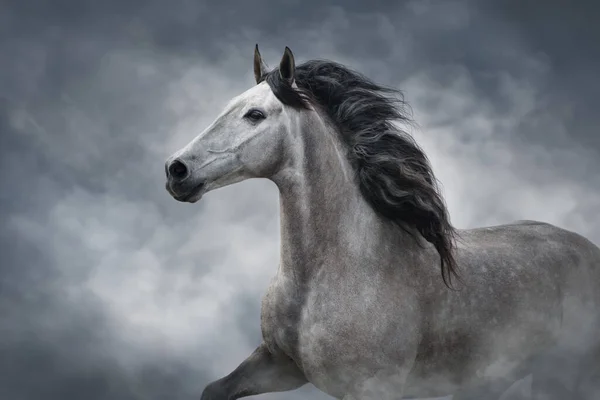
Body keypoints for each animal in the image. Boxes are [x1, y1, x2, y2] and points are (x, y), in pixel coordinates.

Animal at [164, 45, 600, 398]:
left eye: (255, 114)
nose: (176, 170)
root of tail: (589, 250)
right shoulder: (278, 365)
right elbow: (213, 390)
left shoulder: (372, 389)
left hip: (566, 373)